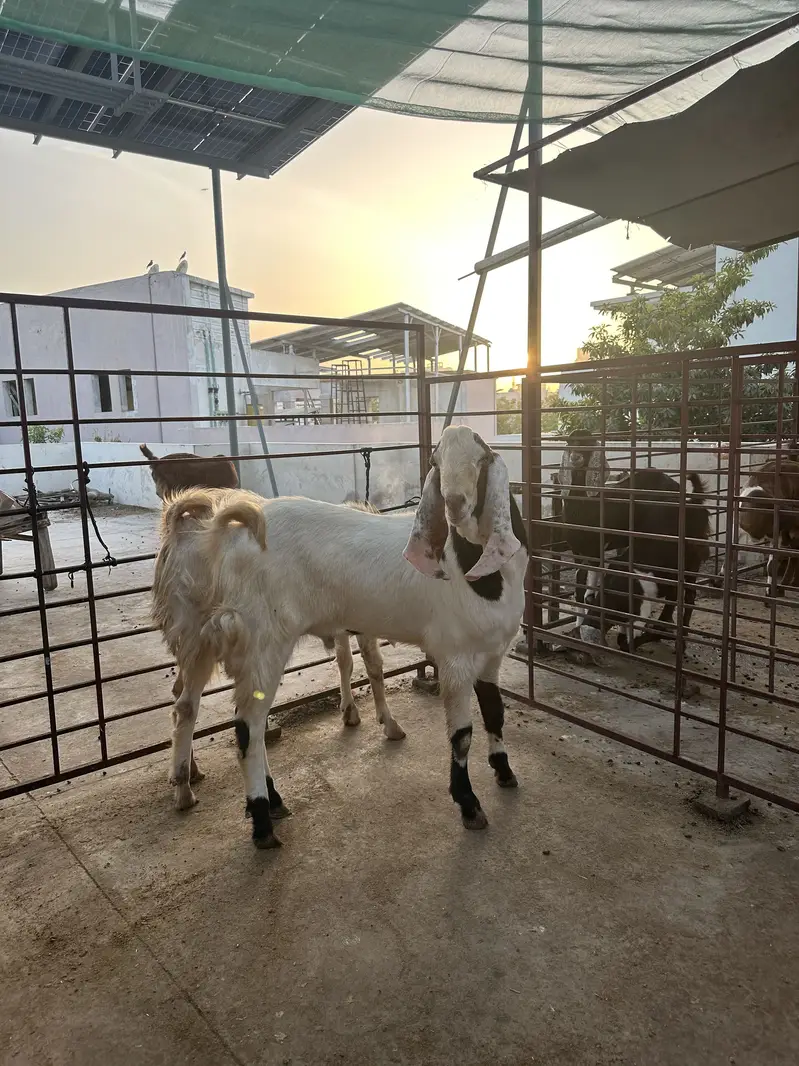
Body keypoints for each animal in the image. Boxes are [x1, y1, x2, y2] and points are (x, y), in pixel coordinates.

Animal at [152, 426, 527, 848]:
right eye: (436, 462)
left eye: (483, 458)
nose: (455, 505)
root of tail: (225, 528)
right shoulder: (455, 657)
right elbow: (462, 734)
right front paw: (469, 805)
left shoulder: (493, 654)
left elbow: (495, 711)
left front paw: (504, 772)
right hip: (263, 639)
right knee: (248, 727)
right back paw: (262, 822)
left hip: (204, 638)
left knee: (193, 709)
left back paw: (215, 792)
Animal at [559, 431, 711, 650]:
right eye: (571, 443)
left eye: (588, 445)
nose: (575, 457)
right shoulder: (578, 553)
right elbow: (579, 589)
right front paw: (577, 625)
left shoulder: (595, 552)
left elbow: (588, 593)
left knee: (688, 594)